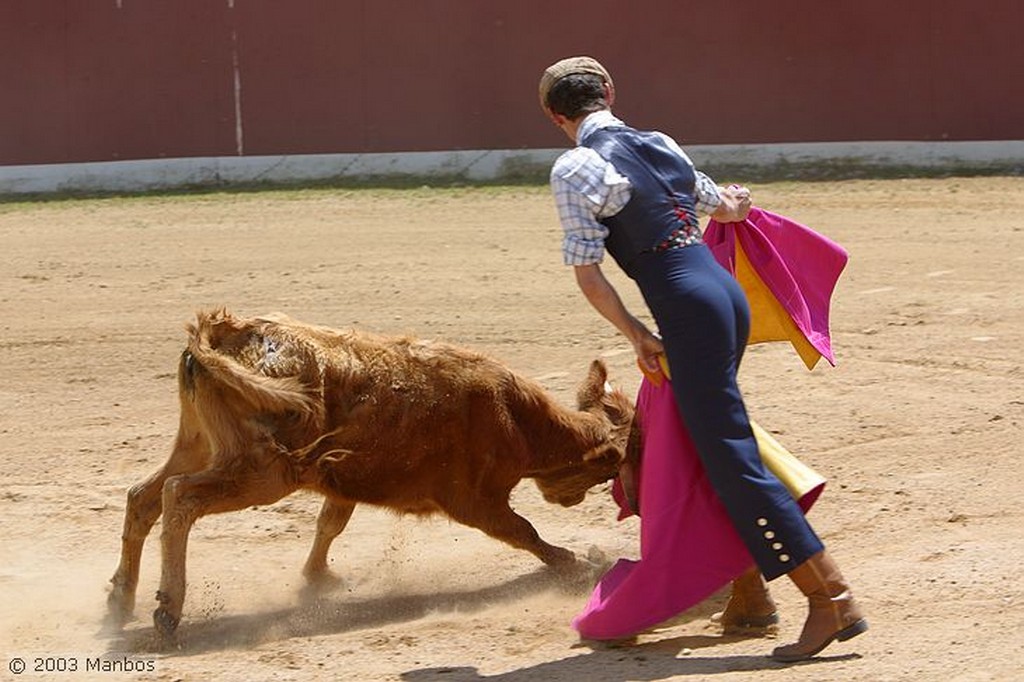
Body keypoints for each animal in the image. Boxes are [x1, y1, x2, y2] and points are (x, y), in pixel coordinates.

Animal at [103, 307, 630, 630]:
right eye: (608, 473)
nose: (573, 499)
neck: (515, 417)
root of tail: (225, 332)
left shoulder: (344, 482)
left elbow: (330, 524)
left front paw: (317, 580)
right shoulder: (474, 501)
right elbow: (524, 532)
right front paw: (577, 563)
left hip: (196, 445)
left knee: (142, 497)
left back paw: (120, 601)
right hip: (262, 473)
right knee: (180, 497)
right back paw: (167, 610)